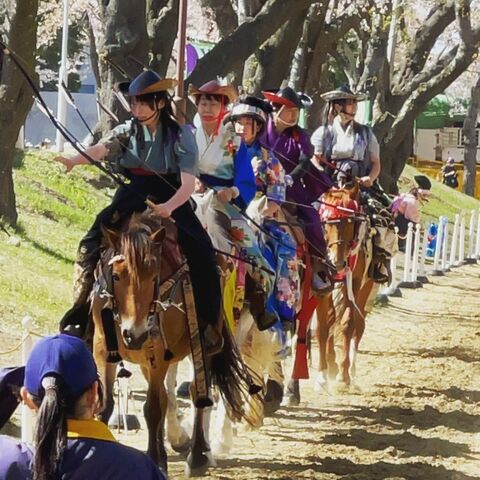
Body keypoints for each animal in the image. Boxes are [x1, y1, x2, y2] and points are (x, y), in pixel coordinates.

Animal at [91, 213, 253, 476]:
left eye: (153, 277)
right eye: (116, 276)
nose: (134, 334)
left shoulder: (157, 355)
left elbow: (153, 408)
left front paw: (156, 460)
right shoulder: (103, 350)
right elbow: (105, 405)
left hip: (203, 348)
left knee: (198, 394)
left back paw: (197, 455)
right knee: (167, 397)